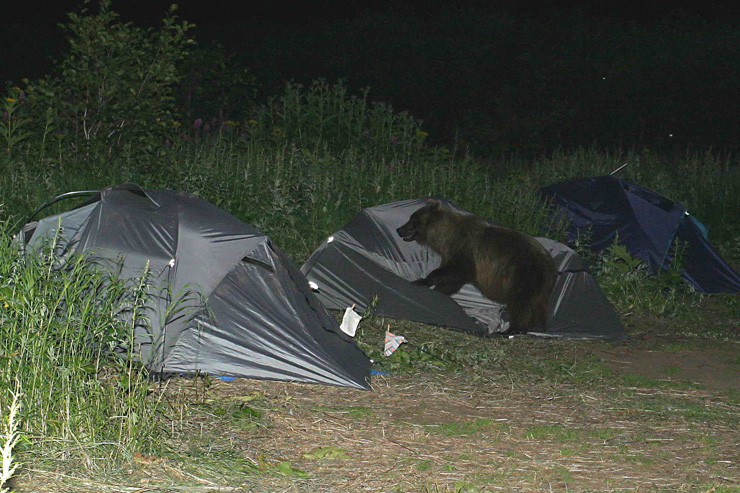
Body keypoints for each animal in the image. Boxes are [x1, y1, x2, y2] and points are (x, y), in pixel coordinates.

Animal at [398, 198, 556, 332]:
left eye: (413, 219)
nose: (399, 229)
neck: (445, 237)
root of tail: (549, 263)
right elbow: (454, 279)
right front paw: (439, 289)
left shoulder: (464, 249)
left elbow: (451, 271)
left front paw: (422, 281)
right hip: (540, 286)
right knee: (537, 305)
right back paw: (538, 326)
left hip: (523, 275)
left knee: (521, 304)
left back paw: (513, 329)